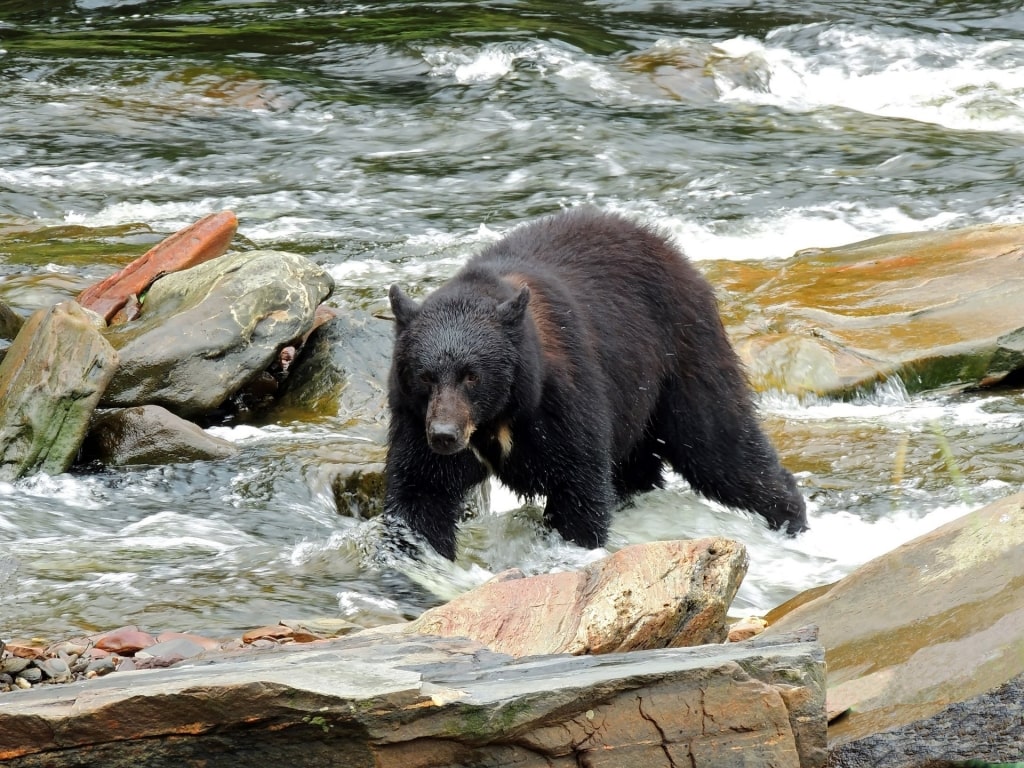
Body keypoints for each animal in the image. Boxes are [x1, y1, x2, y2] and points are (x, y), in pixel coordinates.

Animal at [385, 208, 806, 561]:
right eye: (424, 376)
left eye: (472, 375)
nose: (444, 435)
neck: (498, 418)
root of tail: (674, 251)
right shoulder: (414, 418)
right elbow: (421, 493)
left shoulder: (562, 399)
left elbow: (578, 485)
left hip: (682, 354)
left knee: (718, 445)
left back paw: (791, 516)